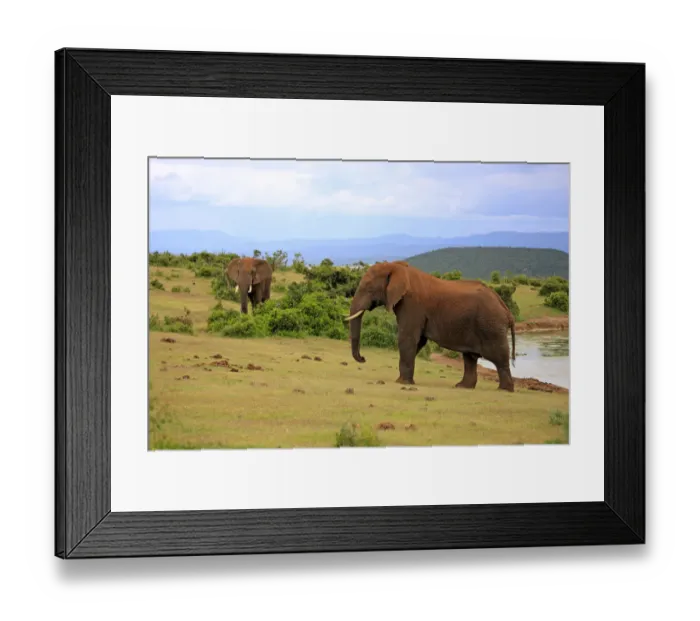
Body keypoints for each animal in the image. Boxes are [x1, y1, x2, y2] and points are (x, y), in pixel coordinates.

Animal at [344, 261, 516, 392]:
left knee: (498, 357)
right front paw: (404, 380)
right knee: (470, 357)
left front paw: (402, 382)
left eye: (369, 288)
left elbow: (407, 338)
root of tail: (506, 310)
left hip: (491, 326)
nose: (363, 358)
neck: (396, 267)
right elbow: (418, 341)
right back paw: (462, 387)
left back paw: (504, 390)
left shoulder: (412, 304)